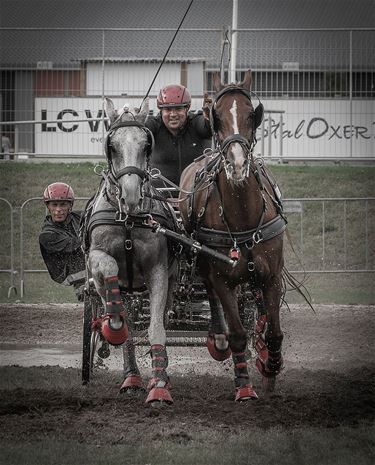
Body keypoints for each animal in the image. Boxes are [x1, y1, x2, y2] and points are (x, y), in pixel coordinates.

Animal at [181, 70, 286, 400]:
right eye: (216, 116)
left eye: (252, 114)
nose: (238, 165)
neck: (243, 217)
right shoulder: (222, 279)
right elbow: (238, 334)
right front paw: (244, 386)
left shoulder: (271, 276)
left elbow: (274, 332)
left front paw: (271, 367)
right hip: (205, 266)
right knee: (216, 306)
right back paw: (218, 338)